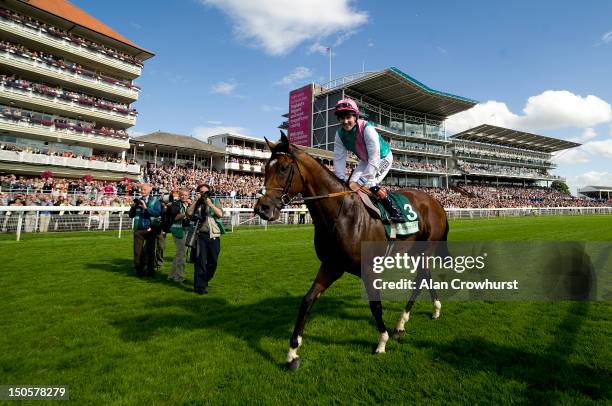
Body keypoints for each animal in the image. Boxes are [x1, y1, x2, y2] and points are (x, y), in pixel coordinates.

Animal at [253, 134, 450, 372]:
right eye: (265, 168)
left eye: (282, 168)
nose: (262, 208)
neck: (341, 214)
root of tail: (436, 202)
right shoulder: (331, 265)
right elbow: (307, 301)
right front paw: (292, 353)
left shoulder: (369, 268)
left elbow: (375, 304)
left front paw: (381, 342)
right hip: (414, 250)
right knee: (425, 276)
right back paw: (432, 311)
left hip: (426, 247)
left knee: (420, 278)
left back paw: (401, 323)